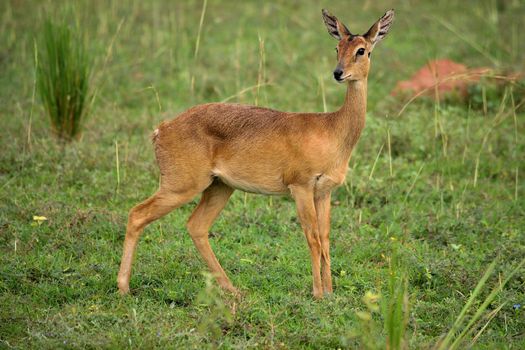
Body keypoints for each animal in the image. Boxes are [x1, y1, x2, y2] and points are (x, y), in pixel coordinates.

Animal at [117, 8, 392, 298]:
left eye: (362, 50)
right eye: (337, 47)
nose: (339, 73)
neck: (332, 129)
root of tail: (161, 129)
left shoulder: (324, 192)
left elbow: (326, 239)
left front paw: (329, 293)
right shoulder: (300, 187)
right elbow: (312, 239)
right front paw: (318, 294)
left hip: (219, 187)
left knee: (196, 226)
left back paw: (233, 289)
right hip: (180, 186)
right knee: (136, 214)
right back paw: (124, 287)